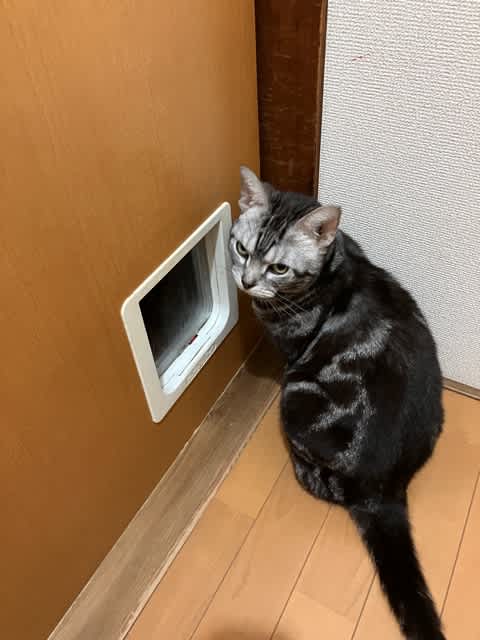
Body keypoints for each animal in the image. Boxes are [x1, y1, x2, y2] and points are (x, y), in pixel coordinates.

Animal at [229, 166, 446, 640]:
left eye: (278, 267)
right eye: (240, 248)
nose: (247, 282)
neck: (334, 265)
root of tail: (386, 490)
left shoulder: (291, 355)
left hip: (295, 400)